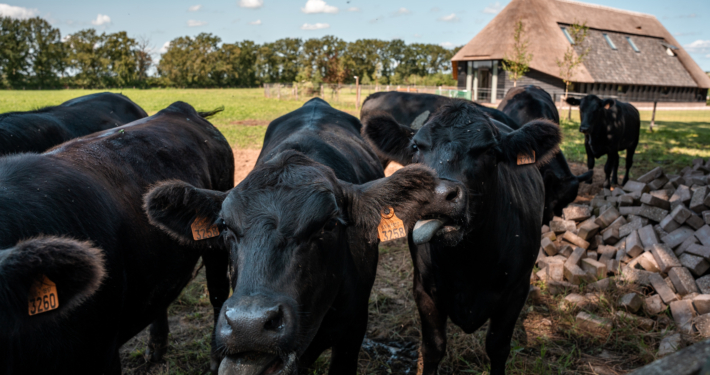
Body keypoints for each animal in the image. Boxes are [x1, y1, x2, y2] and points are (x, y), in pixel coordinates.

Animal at [364, 100, 564, 375]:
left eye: (490, 151)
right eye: (416, 147)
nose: (439, 196)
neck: (466, 263)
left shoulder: (517, 291)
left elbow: (498, 347)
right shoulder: (424, 290)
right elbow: (433, 347)